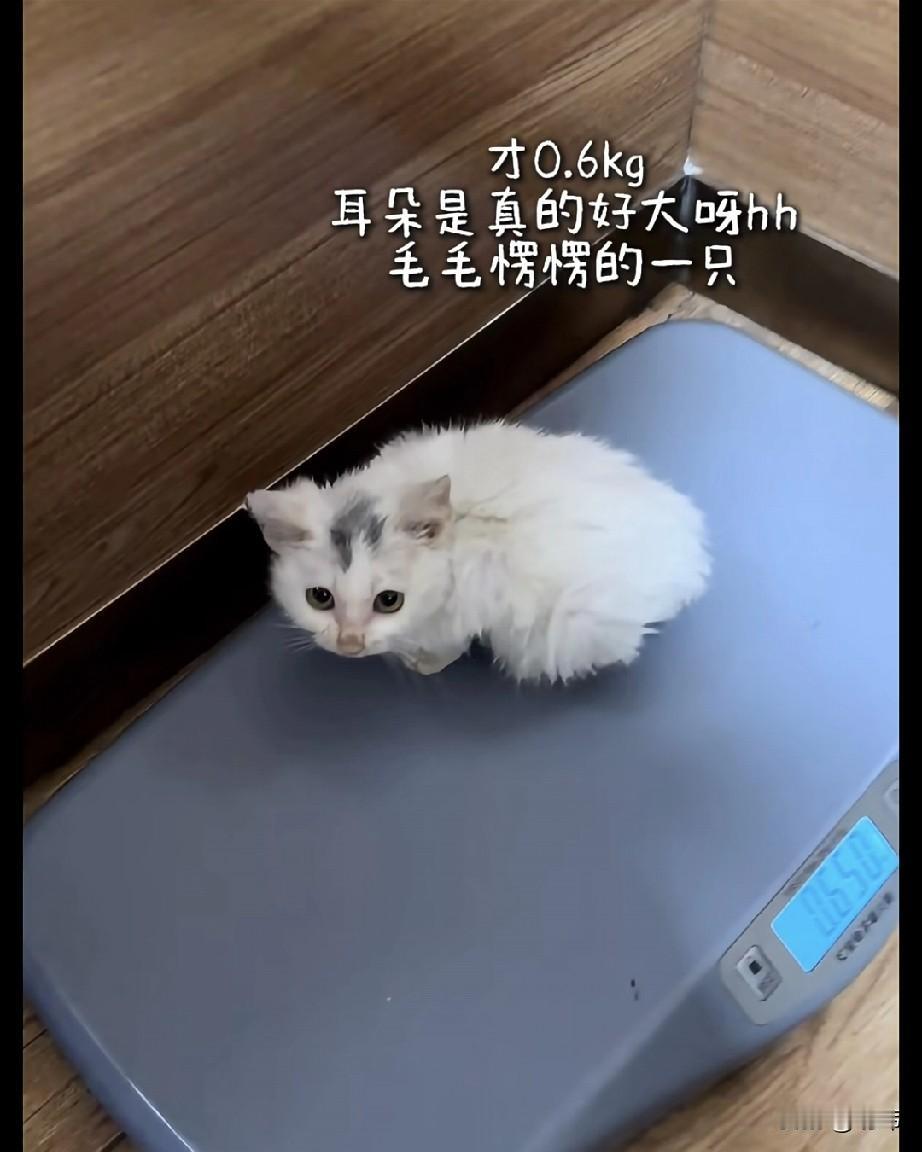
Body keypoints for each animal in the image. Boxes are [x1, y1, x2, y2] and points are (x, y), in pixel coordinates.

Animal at [247, 421, 711, 683]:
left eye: (389, 601)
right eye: (319, 598)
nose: (349, 644)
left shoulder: (461, 610)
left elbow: (443, 645)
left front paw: (424, 663)